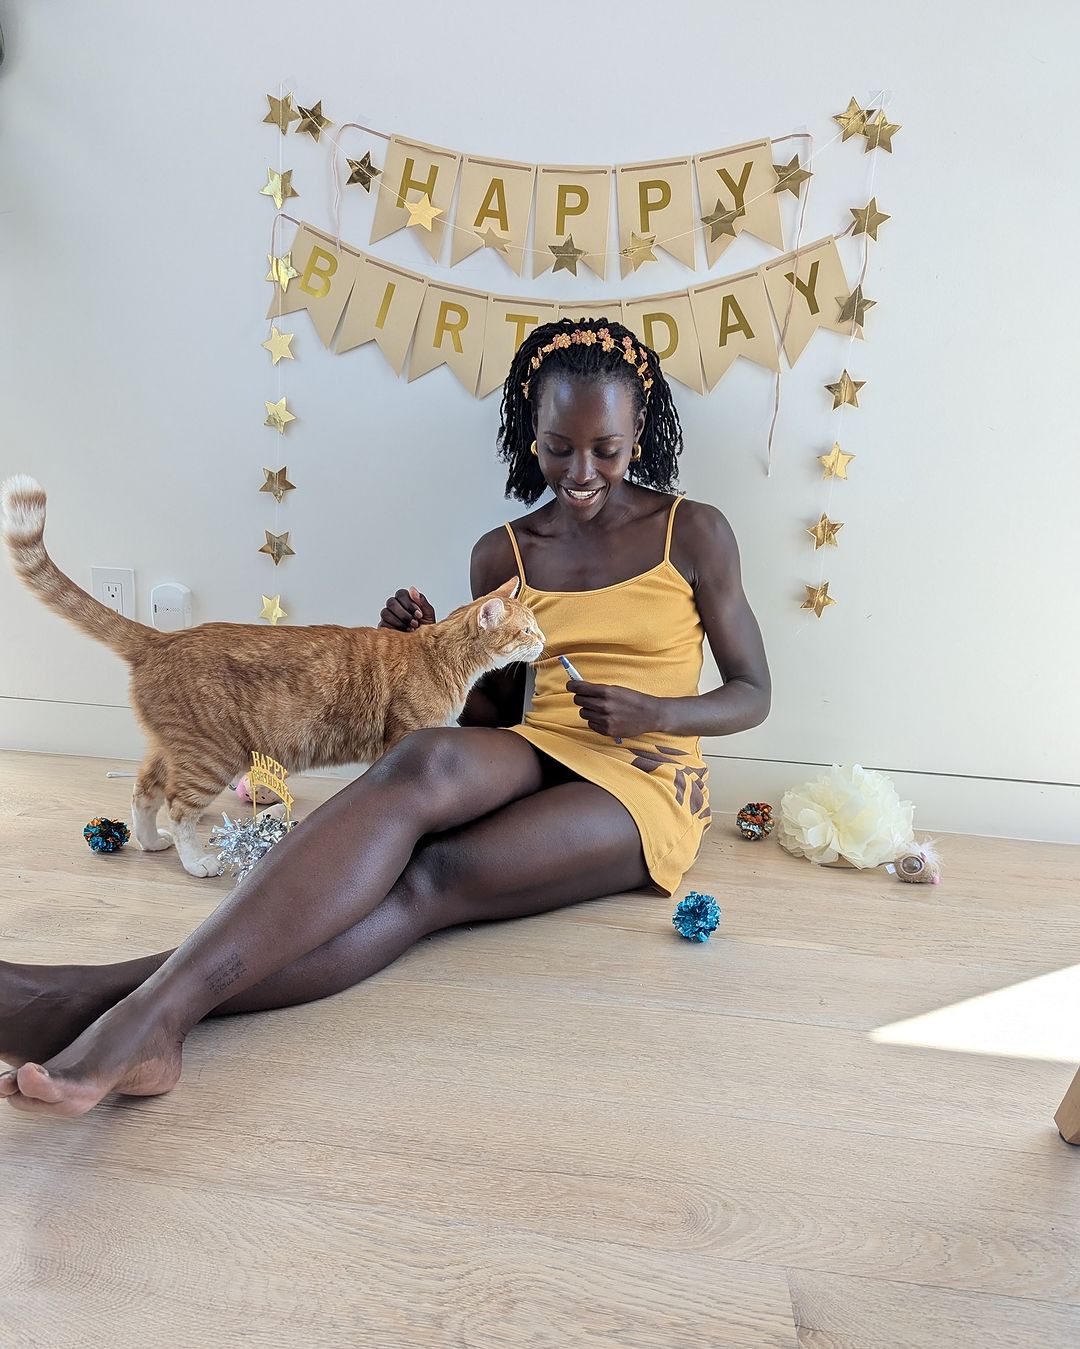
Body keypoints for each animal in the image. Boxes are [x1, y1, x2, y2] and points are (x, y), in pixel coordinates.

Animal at [0, 480, 539, 879]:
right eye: (528, 629)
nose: (545, 641)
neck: (439, 655)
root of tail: (162, 639)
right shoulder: (404, 740)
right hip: (210, 754)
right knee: (179, 809)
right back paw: (196, 861)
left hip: (171, 748)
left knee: (142, 794)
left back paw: (151, 843)